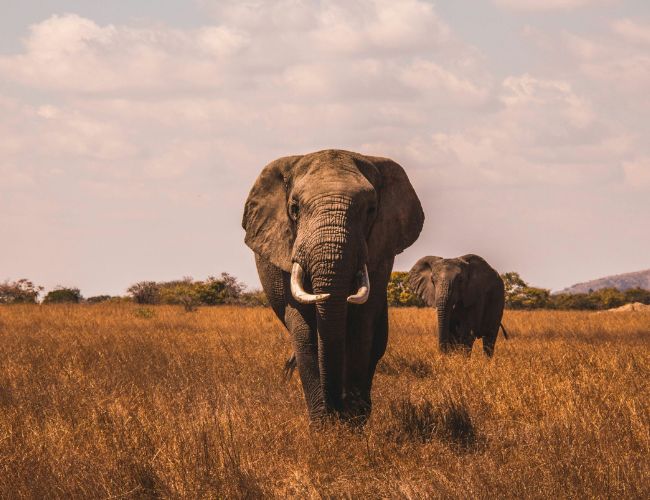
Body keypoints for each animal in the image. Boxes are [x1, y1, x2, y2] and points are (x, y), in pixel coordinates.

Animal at [242, 149, 424, 423]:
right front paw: (324, 425)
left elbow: (361, 326)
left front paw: (353, 422)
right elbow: (305, 330)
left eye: (371, 210)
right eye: (294, 209)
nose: (336, 408)